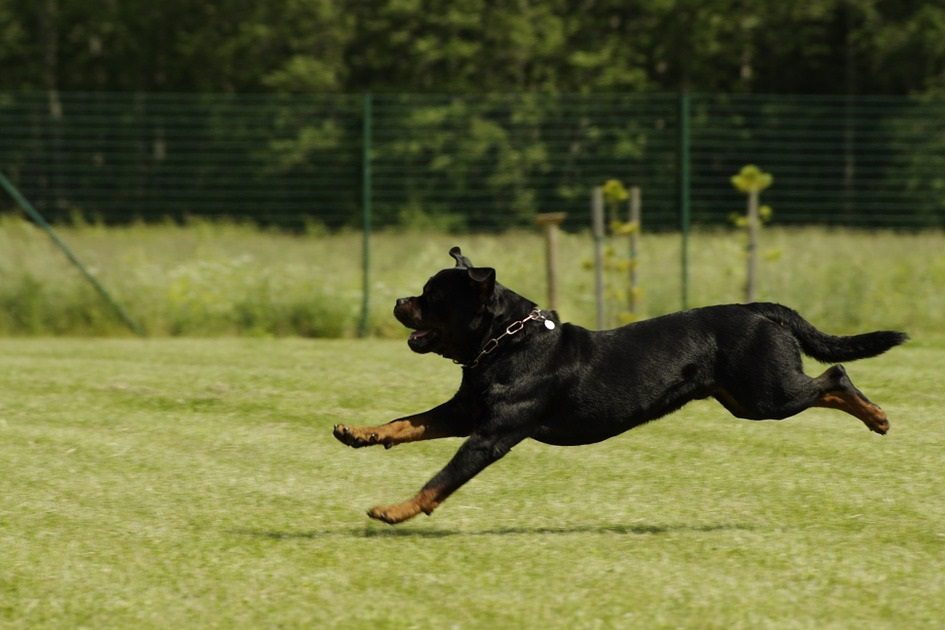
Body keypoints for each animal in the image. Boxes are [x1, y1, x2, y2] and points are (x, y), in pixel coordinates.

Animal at [332, 247, 908, 524]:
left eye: (432, 296)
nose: (398, 302)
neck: (503, 343)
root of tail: (758, 307)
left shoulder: (489, 434)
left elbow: (440, 479)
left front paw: (394, 511)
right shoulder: (463, 413)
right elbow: (406, 422)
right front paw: (359, 433)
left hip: (768, 395)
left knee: (833, 377)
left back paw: (878, 417)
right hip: (746, 399)